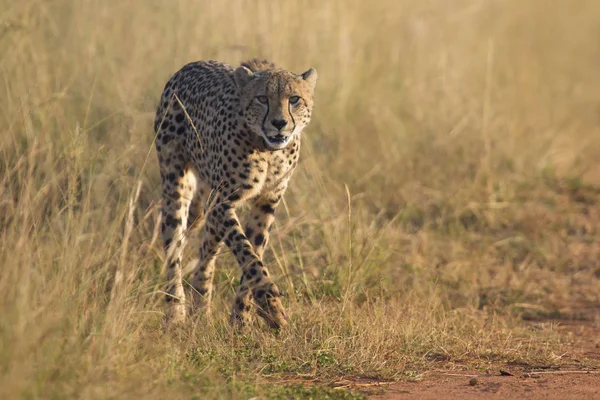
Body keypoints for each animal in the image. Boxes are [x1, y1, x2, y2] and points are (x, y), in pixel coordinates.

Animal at [155, 58, 318, 328]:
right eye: (262, 98)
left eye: (294, 99)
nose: (279, 123)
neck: (268, 150)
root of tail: (191, 65)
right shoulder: (223, 201)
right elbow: (247, 253)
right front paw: (270, 302)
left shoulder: (267, 201)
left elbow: (254, 252)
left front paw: (242, 317)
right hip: (176, 187)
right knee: (173, 248)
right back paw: (176, 311)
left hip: (208, 208)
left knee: (205, 257)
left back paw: (201, 308)